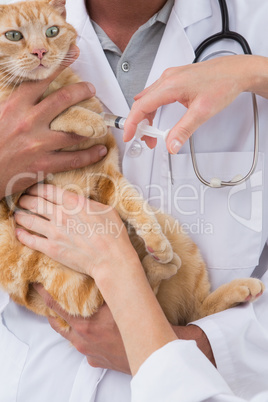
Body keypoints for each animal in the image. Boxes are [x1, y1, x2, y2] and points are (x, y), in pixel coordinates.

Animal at [0, 0, 264, 330]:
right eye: (13, 35)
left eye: (52, 31)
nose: (39, 52)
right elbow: (53, 114)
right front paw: (85, 118)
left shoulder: (108, 176)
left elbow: (135, 205)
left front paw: (154, 240)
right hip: (57, 276)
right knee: (107, 299)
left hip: (178, 237)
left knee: (180, 314)